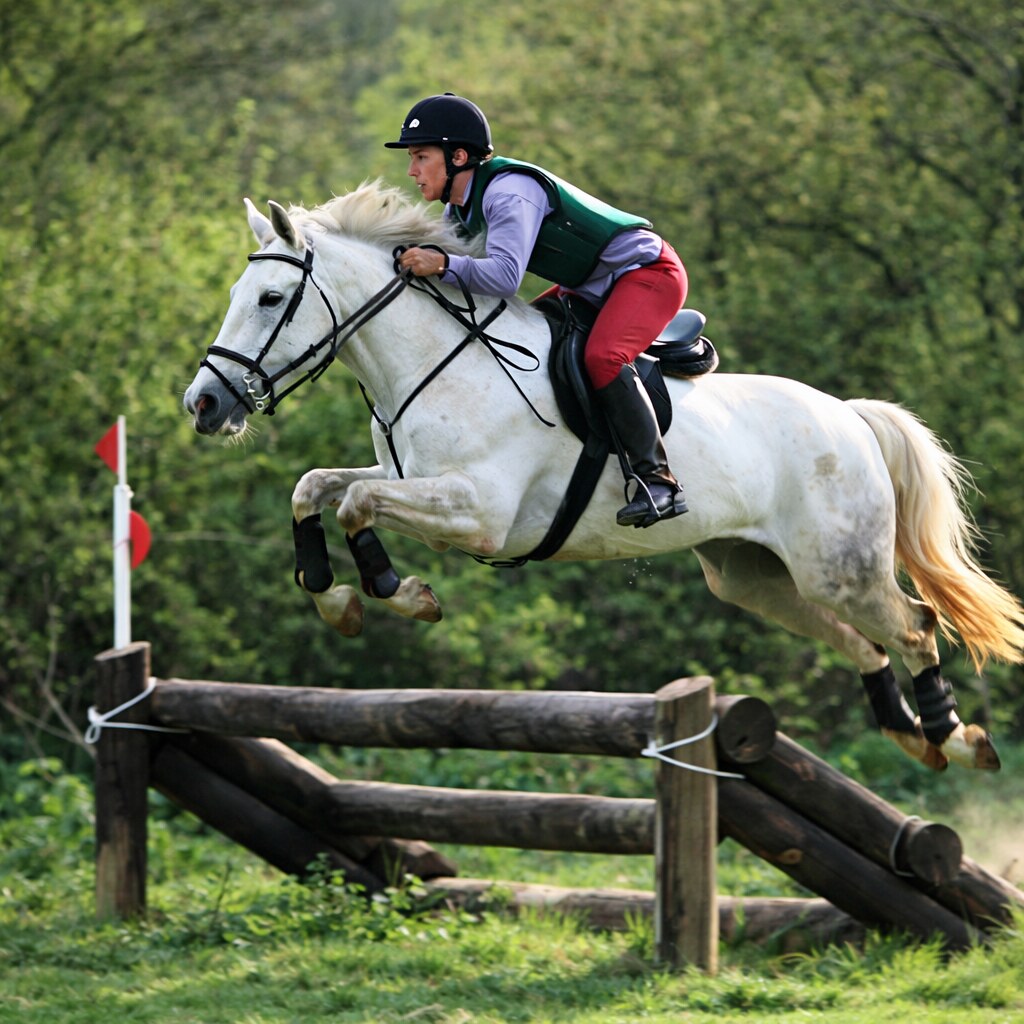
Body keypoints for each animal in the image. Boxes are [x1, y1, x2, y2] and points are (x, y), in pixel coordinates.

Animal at [184, 180, 1024, 773]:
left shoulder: (475, 513)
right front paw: (338, 600)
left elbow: (356, 501)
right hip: (755, 576)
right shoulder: (407, 478)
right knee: (862, 642)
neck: (433, 363)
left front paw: (400, 593)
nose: (203, 404)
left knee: (912, 626)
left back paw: (957, 740)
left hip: (839, 564)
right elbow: (315, 487)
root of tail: (848, 416)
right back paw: (909, 735)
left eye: (269, 298)